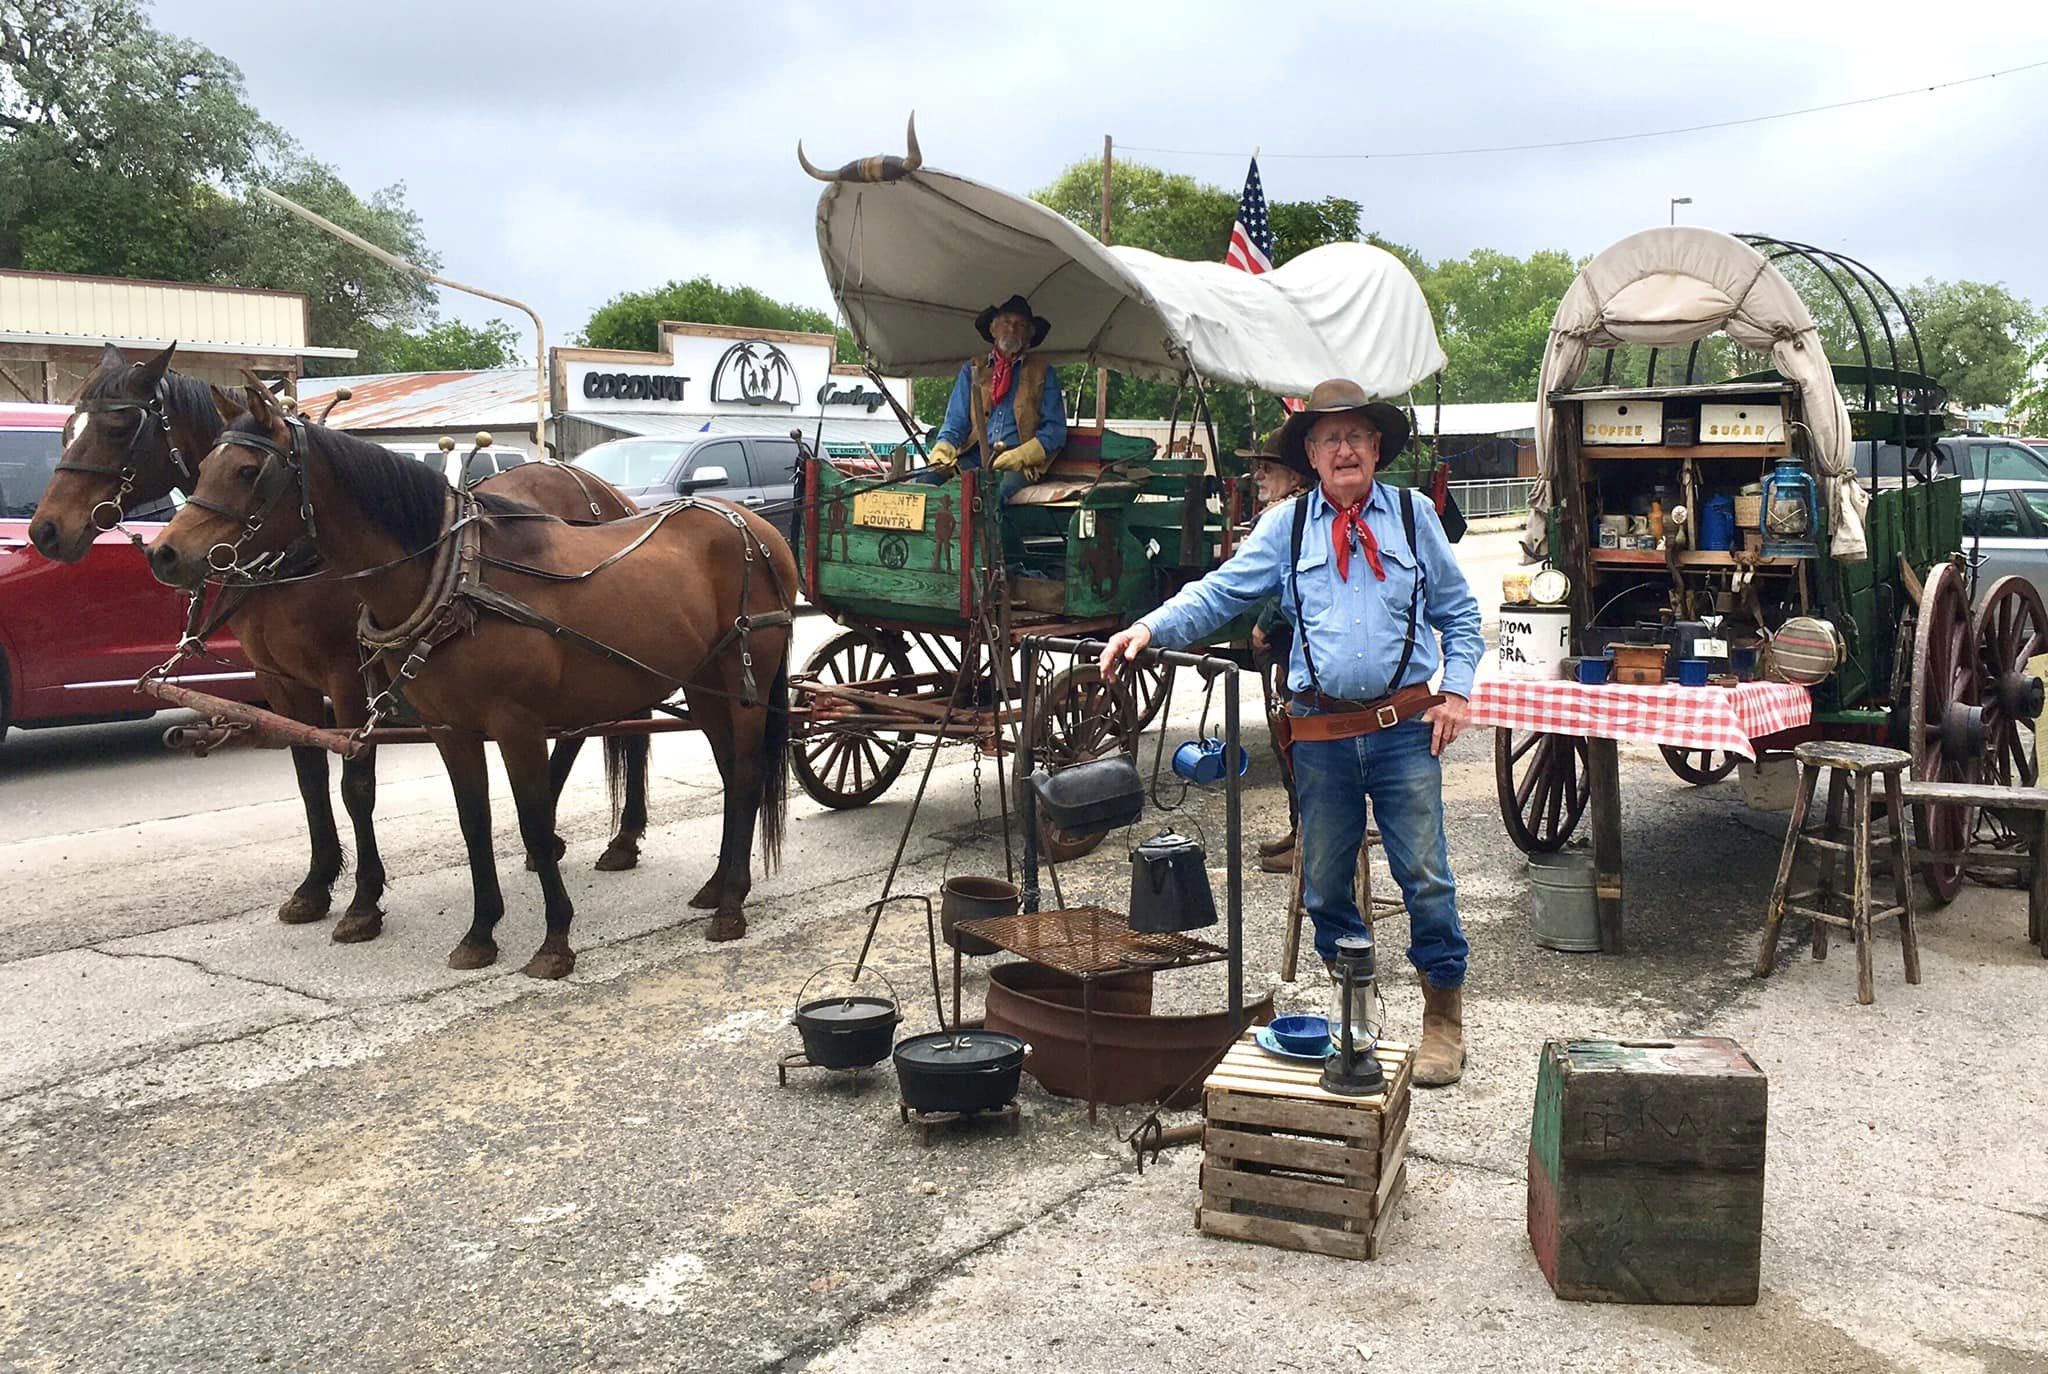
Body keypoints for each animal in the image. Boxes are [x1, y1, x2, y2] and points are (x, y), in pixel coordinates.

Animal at [29, 344, 655, 946]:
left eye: (117, 428)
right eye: (67, 429)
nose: (46, 531)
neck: (301, 556)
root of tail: (609, 495)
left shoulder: (346, 677)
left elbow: (356, 786)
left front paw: (362, 902)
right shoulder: (281, 683)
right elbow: (309, 779)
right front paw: (314, 885)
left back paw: (615, 837)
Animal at [144, 380, 794, 974]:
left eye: (248, 470)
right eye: (202, 467)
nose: (164, 554)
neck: (454, 580)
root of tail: (754, 527)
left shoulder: (515, 724)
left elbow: (533, 820)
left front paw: (554, 939)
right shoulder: (449, 728)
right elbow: (473, 822)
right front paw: (481, 933)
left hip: (746, 682)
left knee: (747, 774)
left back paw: (731, 905)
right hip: (704, 685)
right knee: (731, 774)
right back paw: (716, 886)